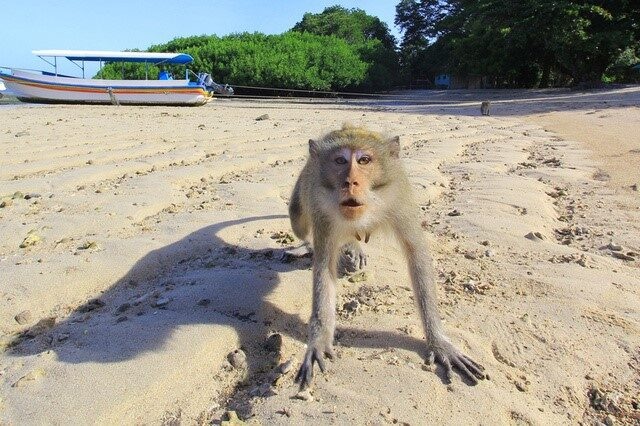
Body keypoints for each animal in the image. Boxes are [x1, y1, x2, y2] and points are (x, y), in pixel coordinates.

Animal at [289, 124, 485, 389]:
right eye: (340, 161)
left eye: (364, 160)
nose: (350, 181)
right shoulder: (322, 211)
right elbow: (324, 268)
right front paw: (318, 340)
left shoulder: (399, 199)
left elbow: (417, 255)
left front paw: (439, 341)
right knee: (298, 221)